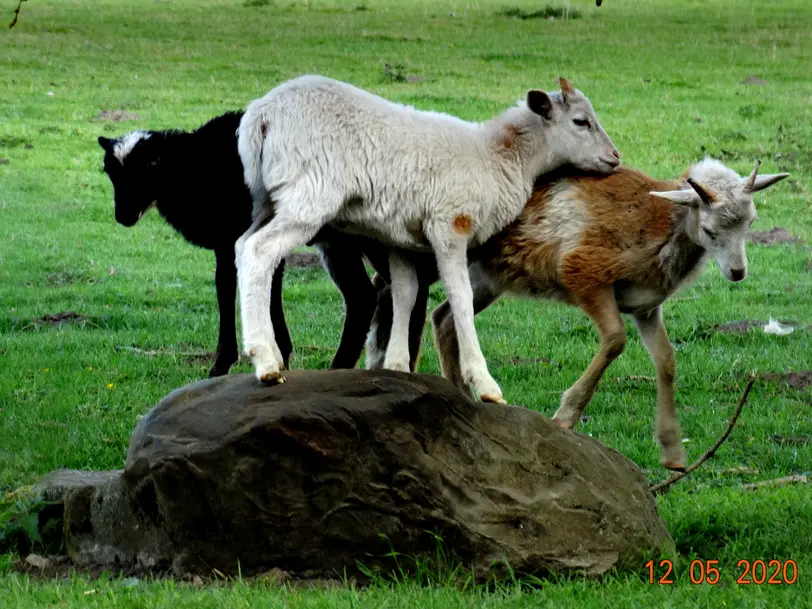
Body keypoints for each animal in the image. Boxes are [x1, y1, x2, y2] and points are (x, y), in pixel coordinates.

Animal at [238, 73, 620, 402]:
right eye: (581, 122)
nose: (615, 158)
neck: (500, 157)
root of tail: (263, 113)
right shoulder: (450, 225)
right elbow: (460, 296)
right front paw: (484, 384)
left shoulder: (398, 237)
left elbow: (405, 294)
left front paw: (396, 365)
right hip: (310, 195)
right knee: (260, 251)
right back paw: (266, 361)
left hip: (265, 199)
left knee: (243, 247)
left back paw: (268, 352)